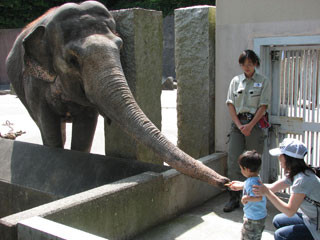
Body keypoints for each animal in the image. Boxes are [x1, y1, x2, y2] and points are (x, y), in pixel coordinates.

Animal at [5, 0, 230, 188]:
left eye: (120, 46)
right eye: (72, 60)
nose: (226, 181)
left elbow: (85, 129)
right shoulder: (34, 84)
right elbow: (48, 124)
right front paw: (55, 156)